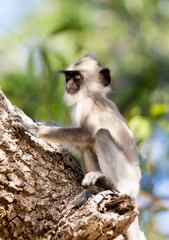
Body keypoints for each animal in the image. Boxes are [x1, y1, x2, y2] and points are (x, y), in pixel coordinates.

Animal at [12, 53, 145, 240]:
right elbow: (83, 142)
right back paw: (95, 189)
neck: (92, 95)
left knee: (100, 135)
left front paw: (35, 129)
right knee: (87, 147)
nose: (69, 84)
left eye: (77, 77)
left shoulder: (85, 105)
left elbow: (88, 134)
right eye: (68, 76)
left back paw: (113, 185)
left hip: (128, 177)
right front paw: (49, 124)